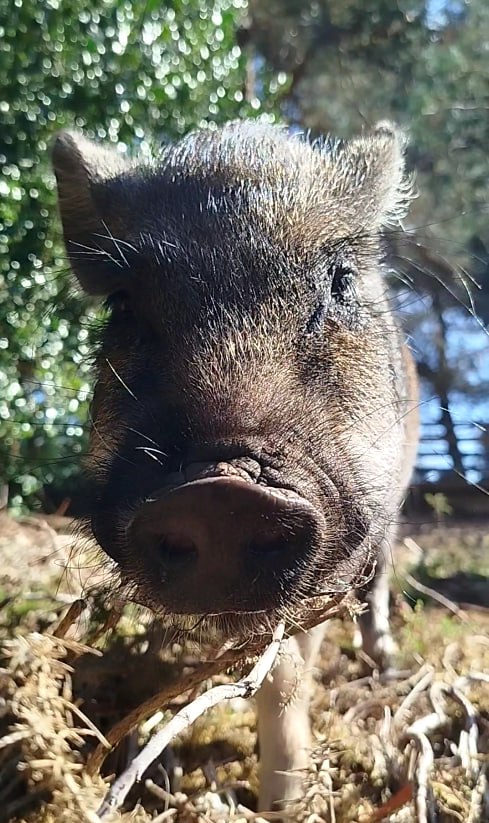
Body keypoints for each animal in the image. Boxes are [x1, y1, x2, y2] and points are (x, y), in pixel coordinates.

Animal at [52, 120, 419, 813]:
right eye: (123, 304)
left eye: (339, 281)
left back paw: (386, 662)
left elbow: (286, 673)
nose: (222, 491)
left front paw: (282, 806)